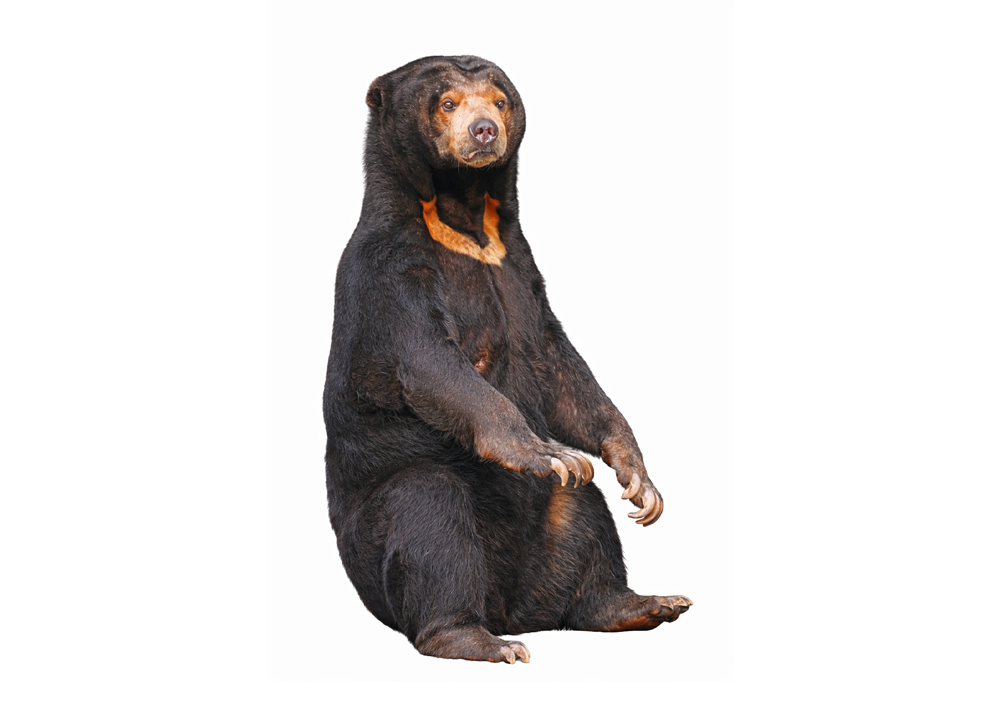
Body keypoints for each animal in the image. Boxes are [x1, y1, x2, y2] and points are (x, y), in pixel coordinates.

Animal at [323, 55, 691, 664]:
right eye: (447, 102)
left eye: (498, 99)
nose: (483, 132)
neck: (464, 220)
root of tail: (510, 607)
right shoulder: (388, 270)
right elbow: (431, 362)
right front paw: (547, 452)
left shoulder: (520, 263)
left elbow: (559, 362)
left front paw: (640, 480)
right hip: (373, 539)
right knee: (429, 512)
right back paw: (476, 639)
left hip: (550, 544)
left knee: (584, 516)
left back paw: (641, 604)